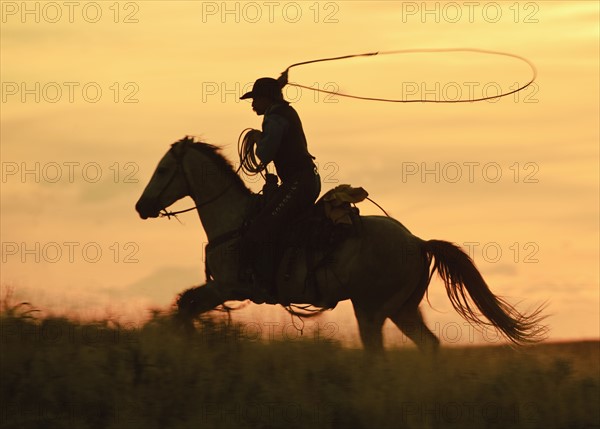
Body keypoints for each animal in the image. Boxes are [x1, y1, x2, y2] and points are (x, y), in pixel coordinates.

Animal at [136, 137, 548, 352]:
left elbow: (186, 305)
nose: (142, 206)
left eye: (163, 169)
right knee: (428, 344)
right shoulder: (221, 288)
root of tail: (416, 242)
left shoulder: (229, 286)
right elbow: (184, 305)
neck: (236, 221)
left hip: (371, 309)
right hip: (403, 309)